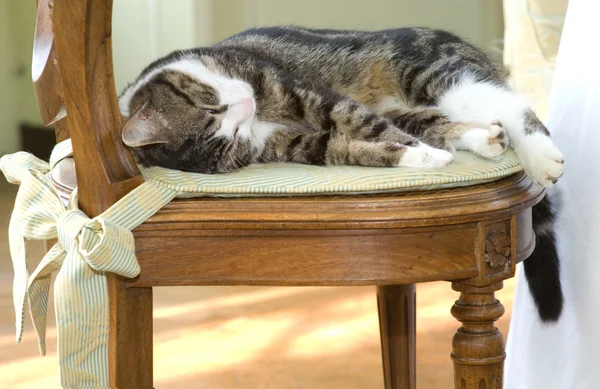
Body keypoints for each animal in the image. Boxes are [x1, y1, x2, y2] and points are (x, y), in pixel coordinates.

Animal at [120, 25, 564, 322]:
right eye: (229, 141)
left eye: (212, 107)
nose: (246, 108)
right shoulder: (292, 145)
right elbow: (345, 146)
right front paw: (418, 158)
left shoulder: (304, 94)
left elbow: (355, 118)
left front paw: (421, 153)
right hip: (415, 106)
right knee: (442, 121)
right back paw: (483, 138)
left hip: (429, 71)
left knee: (506, 102)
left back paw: (540, 156)